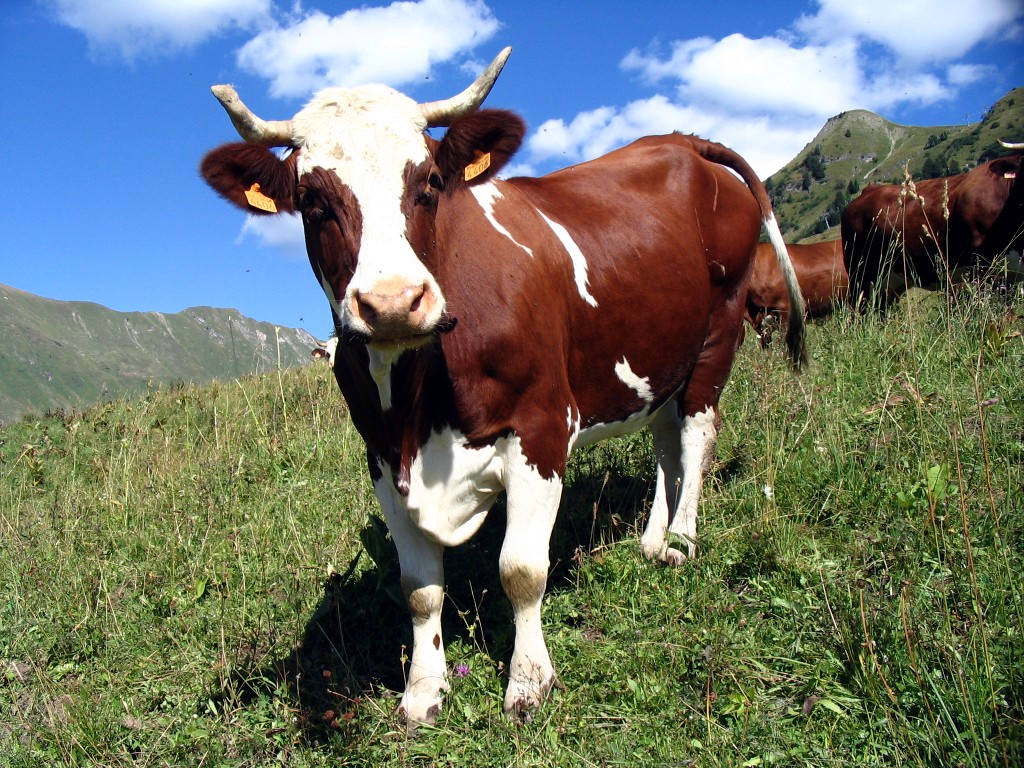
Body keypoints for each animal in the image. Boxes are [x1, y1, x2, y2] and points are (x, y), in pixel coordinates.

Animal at [199, 48, 806, 729]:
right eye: (310, 200)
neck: (420, 409)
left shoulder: (540, 428)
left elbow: (520, 569)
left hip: (719, 331)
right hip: (655, 357)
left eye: (430, 183)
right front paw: (422, 690)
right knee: (665, 442)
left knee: (697, 435)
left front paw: (529, 681)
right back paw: (653, 538)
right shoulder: (381, 457)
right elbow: (420, 590)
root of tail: (683, 141)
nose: (393, 303)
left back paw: (681, 540)